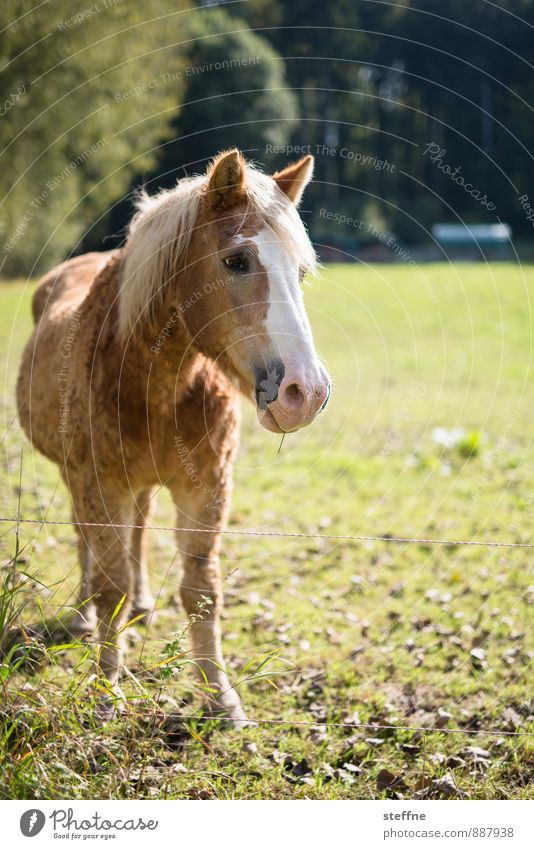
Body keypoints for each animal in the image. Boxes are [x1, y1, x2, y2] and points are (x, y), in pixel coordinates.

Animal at [16, 147, 332, 724]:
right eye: (236, 261)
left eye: (300, 271)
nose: (306, 392)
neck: (153, 379)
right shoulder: (99, 485)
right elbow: (109, 587)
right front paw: (106, 692)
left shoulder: (206, 487)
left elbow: (199, 590)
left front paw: (219, 697)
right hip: (81, 481)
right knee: (86, 542)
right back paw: (82, 619)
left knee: (139, 529)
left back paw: (143, 602)